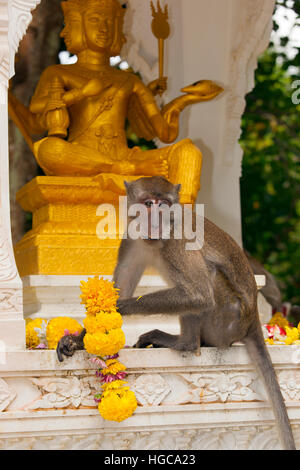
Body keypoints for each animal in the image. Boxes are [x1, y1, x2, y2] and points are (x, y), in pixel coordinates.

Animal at [57, 175, 296, 448]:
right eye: (148, 203)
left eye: (164, 205)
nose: (155, 221)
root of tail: (253, 319)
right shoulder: (130, 240)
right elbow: (121, 287)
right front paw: (77, 339)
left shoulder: (177, 241)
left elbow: (198, 295)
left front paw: (119, 308)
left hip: (228, 318)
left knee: (206, 281)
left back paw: (185, 342)